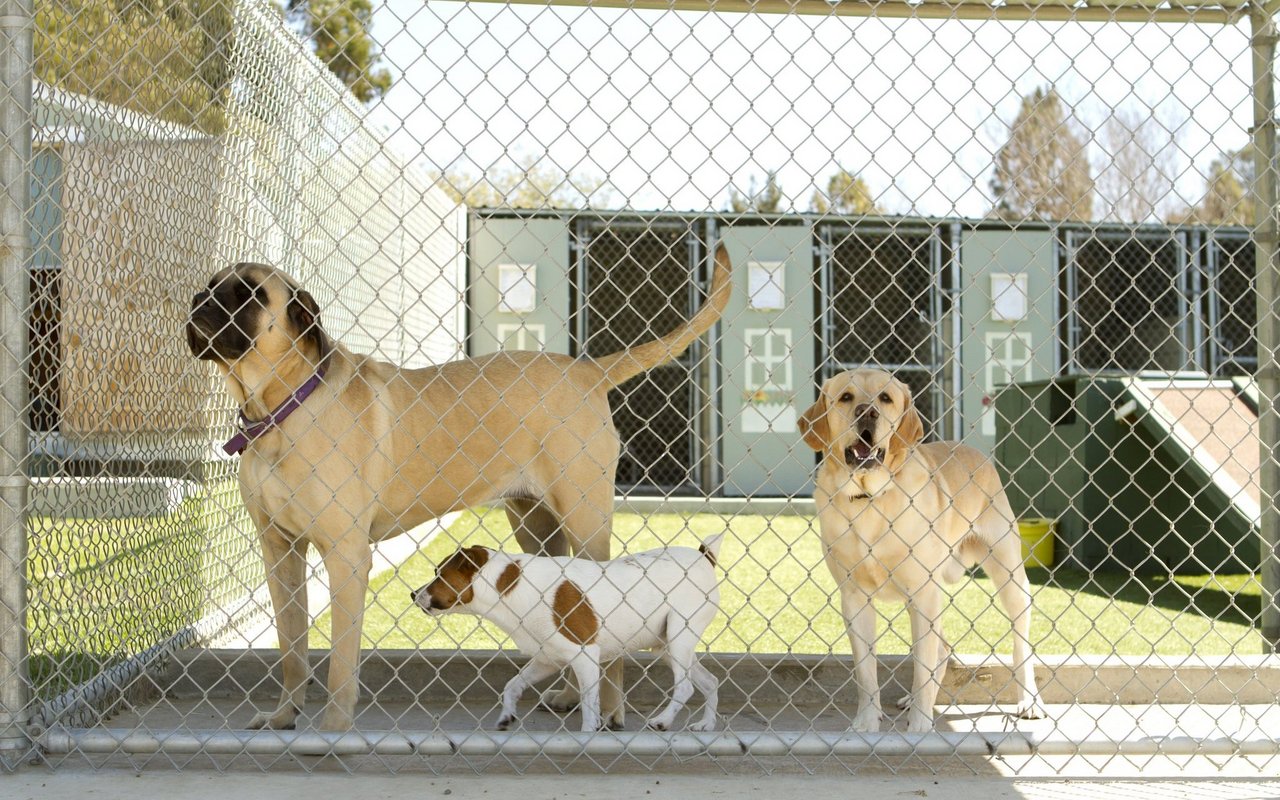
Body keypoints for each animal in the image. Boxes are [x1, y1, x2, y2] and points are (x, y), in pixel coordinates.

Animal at [185, 244, 737, 732]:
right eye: (211, 284)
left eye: (250, 294)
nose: (197, 302)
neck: (280, 411)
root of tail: (588, 370)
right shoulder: (280, 554)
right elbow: (293, 650)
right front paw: (284, 716)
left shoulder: (346, 556)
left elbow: (341, 660)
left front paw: (336, 727)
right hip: (536, 525)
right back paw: (567, 693)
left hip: (585, 520)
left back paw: (613, 709)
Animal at [803, 368, 1044, 732]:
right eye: (845, 397)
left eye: (885, 398)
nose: (866, 413)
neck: (871, 499)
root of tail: (973, 451)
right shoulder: (855, 598)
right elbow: (866, 673)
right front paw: (866, 722)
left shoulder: (923, 593)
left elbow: (922, 666)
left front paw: (920, 726)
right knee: (942, 647)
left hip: (1009, 578)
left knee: (1020, 643)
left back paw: (1028, 700)